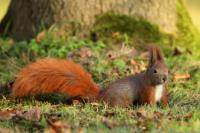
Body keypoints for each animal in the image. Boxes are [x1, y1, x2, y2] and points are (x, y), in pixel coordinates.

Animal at [10, 45, 168, 107]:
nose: (165, 78)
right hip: (121, 99)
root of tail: (101, 96)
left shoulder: (162, 93)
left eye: (168, 70)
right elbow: (148, 103)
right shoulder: (146, 91)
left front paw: (166, 107)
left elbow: (164, 101)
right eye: (155, 71)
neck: (157, 86)